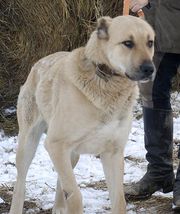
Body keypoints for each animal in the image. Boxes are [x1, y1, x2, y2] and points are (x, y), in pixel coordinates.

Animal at [9, 15, 155, 214]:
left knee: (61, 180)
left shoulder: (113, 153)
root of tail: (39, 62)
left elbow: (119, 200)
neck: (107, 83)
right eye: (128, 43)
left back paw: (59, 207)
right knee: (21, 182)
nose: (150, 69)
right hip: (29, 143)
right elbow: (76, 195)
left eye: (150, 43)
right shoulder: (55, 144)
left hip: (72, 155)